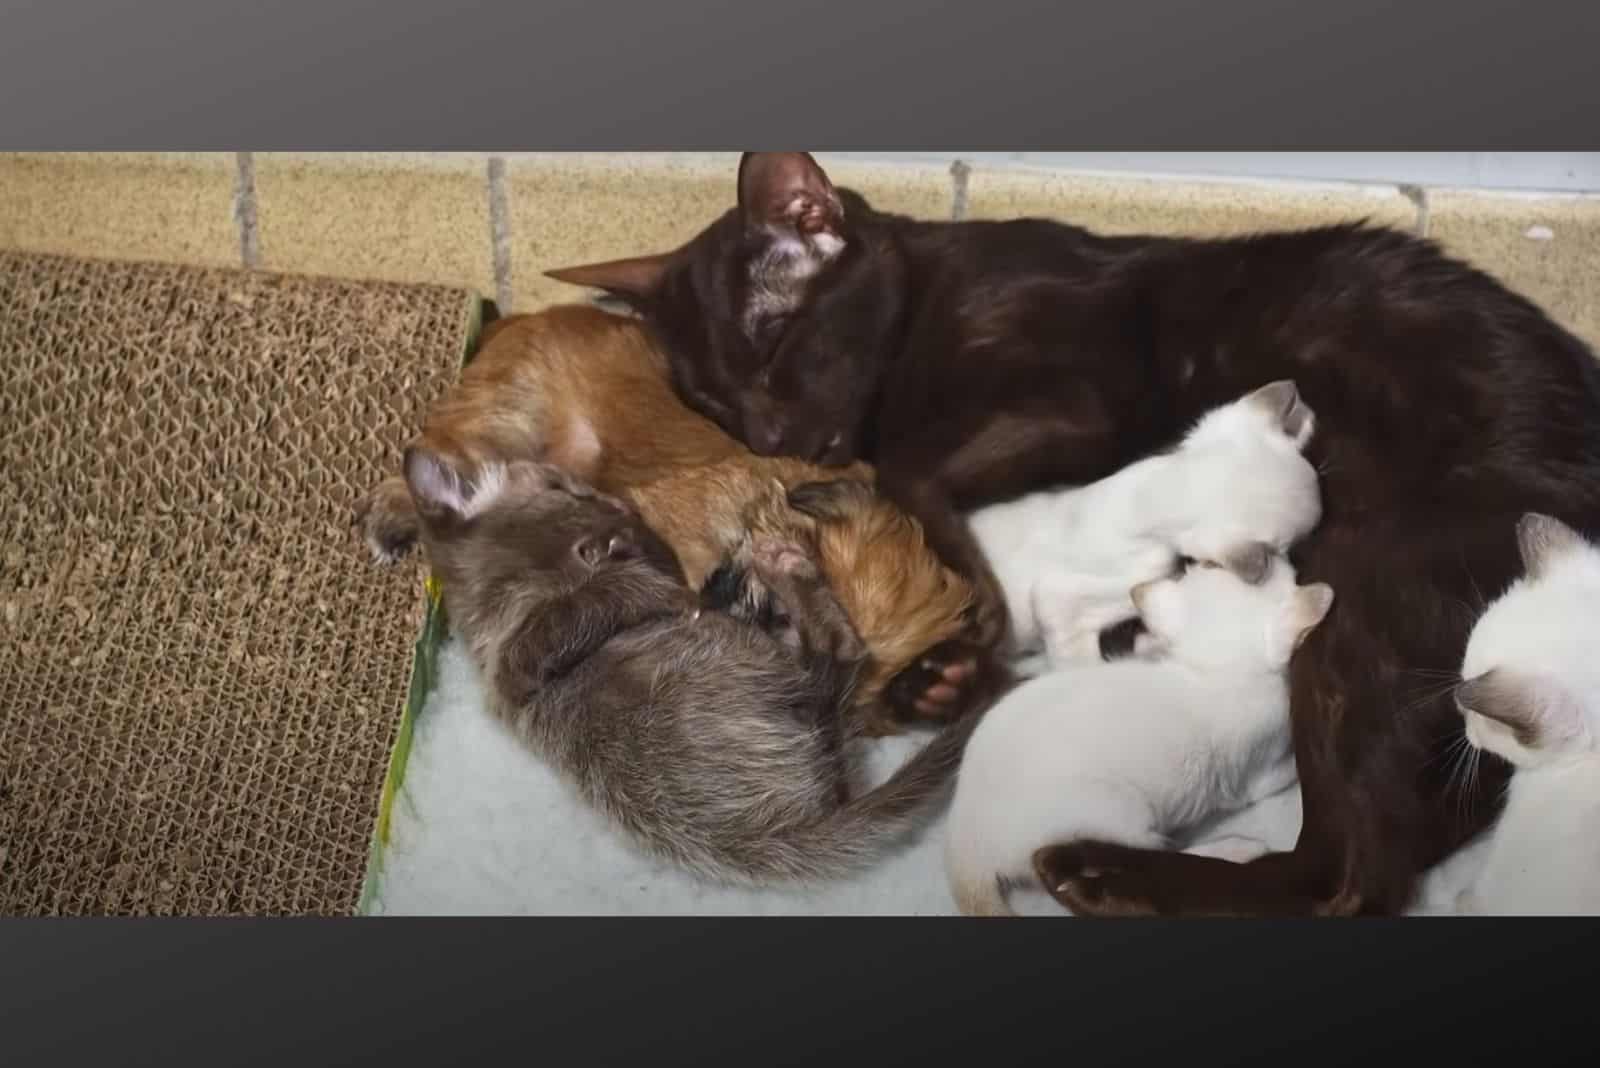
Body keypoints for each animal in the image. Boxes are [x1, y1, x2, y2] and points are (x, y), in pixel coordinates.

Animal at [940, 549, 1331, 920]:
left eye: (1209, 564)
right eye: (1288, 575)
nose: (1275, 553)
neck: (1208, 668)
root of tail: (965, 844)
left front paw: (1146, 642)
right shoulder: (1259, 772)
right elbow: (1287, 769)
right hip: (1118, 814)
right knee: (1155, 855)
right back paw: (1236, 849)